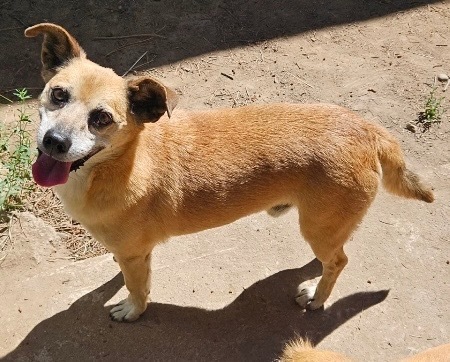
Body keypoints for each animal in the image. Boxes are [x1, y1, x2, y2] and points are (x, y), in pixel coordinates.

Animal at [25, 23, 432, 322]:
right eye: (58, 95)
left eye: (102, 119)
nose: (54, 142)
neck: (119, 164)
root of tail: (366, 128)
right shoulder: (133, 252)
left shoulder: (135, 255)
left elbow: (137, 288)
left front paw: (132, 309)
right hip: (326, 224)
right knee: (334, 253)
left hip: (317, 225)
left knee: (339, 261)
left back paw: (318, 298)